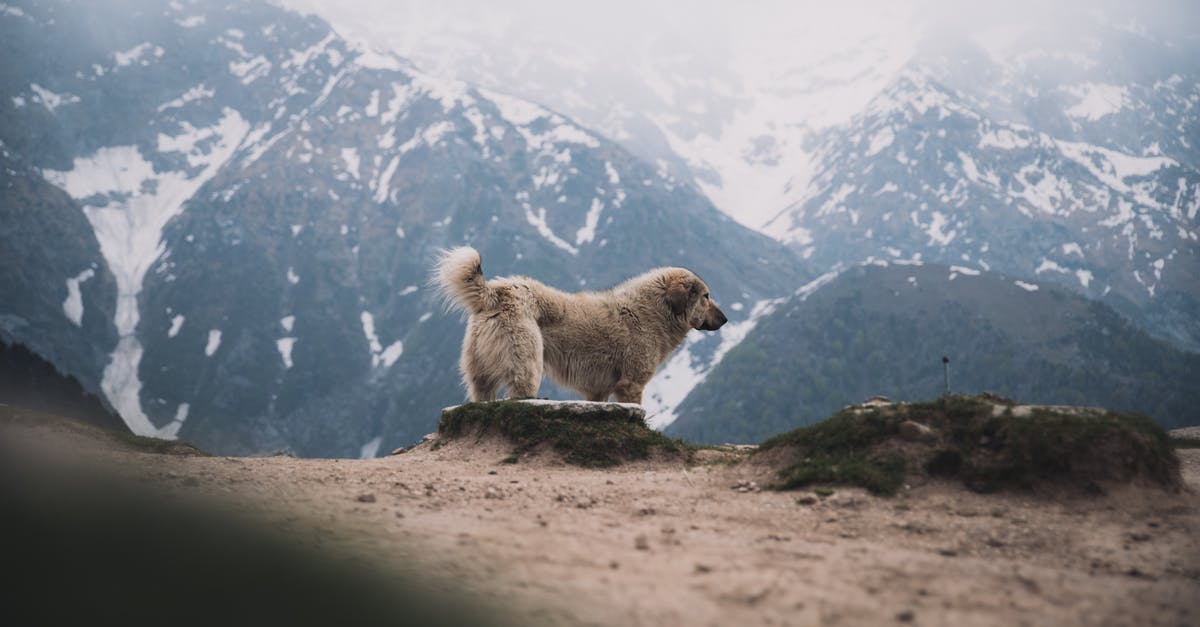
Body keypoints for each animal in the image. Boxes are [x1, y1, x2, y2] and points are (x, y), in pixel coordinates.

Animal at [436, 243, 724, 401]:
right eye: (706, 297)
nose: (725, 319)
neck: (651, 313)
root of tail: (498, 292)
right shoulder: (630, 385)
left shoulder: (597, 391)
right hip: (527, 367)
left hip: (481, 378)